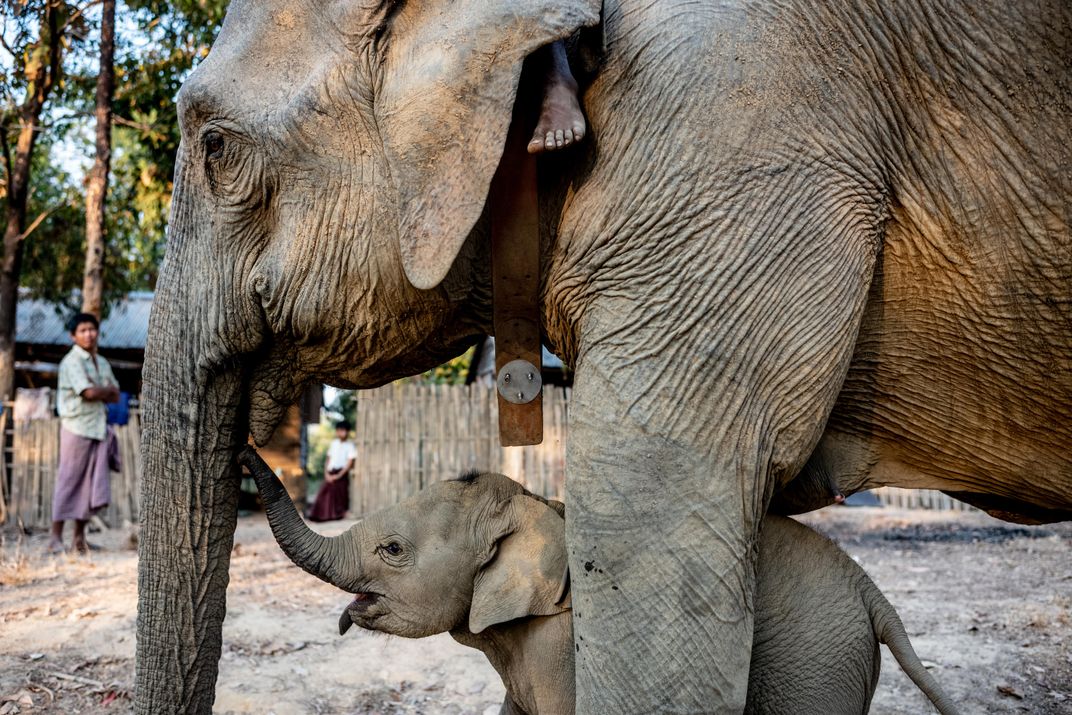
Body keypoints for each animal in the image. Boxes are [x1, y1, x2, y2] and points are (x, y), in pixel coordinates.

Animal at [245, 448, 964, 715]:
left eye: (392, 549)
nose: (247, 453)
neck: (539, 504)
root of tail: (874, 594)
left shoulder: (564, 647)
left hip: (815, 663)